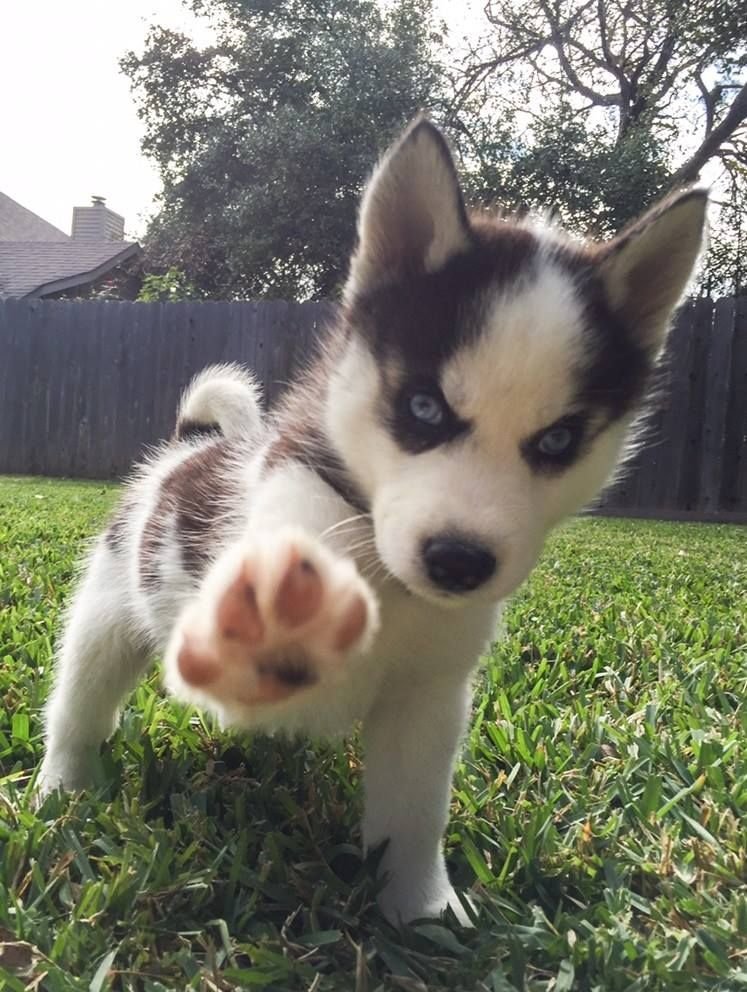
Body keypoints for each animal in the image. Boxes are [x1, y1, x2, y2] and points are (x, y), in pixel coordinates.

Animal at [39, 122, 708, 924]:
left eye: (557, 441)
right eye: (423, 407)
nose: (458, 561)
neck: (384, 575)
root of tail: (184, 450)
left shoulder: (429, 701)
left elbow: (414, 815)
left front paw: (420, 910)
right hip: (105, 619)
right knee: (78, 706)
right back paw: (61, 790)